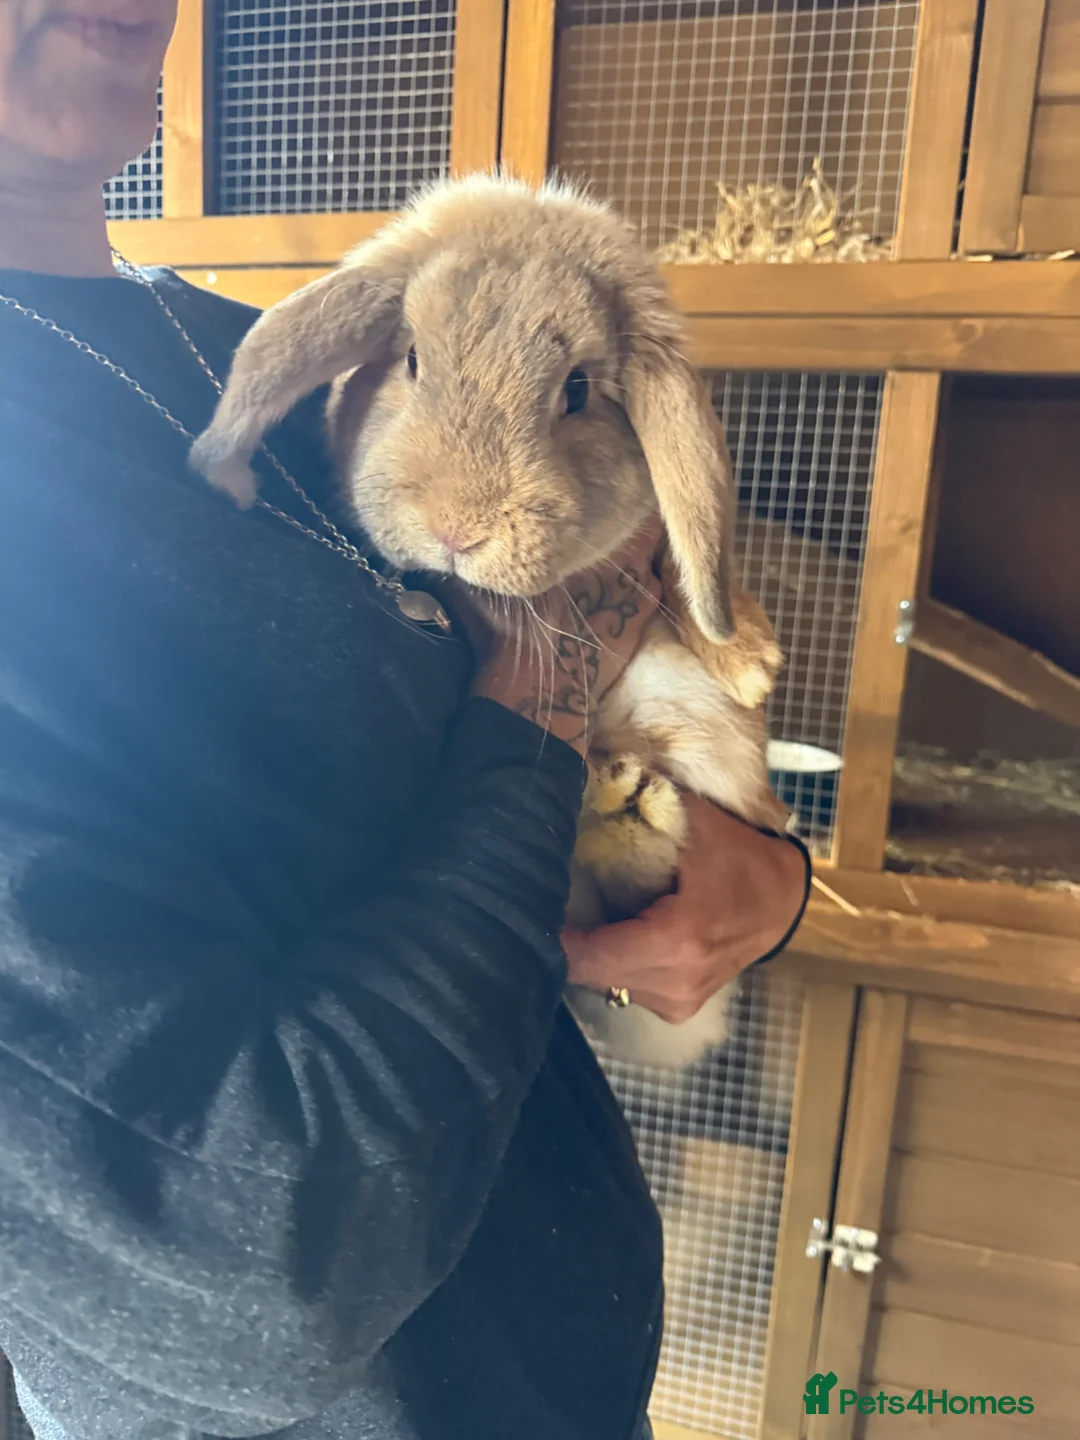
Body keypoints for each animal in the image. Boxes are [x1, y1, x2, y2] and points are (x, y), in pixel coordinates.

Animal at [191, 173, 793, 1071]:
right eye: (410, 359)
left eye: (578, 390)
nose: (456, 529)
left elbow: (684, 567)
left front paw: (748, 656)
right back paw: (618, 801)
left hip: (693, 731)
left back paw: (631, 804)